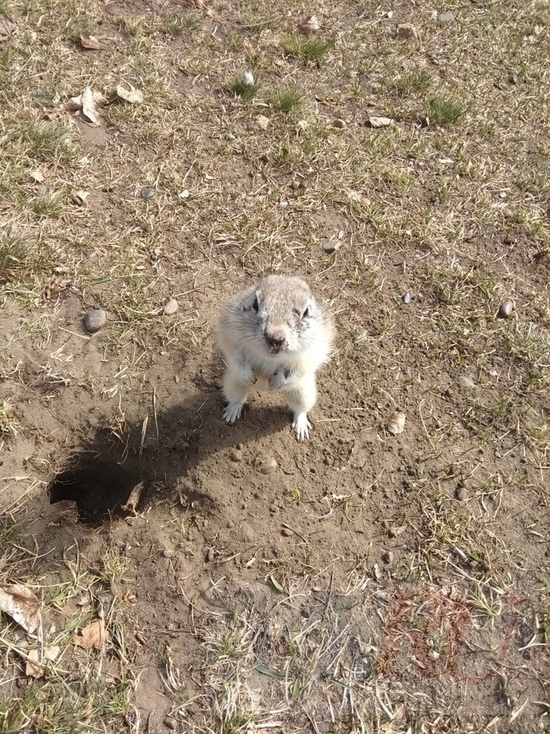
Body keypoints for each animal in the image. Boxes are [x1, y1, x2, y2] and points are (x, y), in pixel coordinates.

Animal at [217, 274, 336, 436]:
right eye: (255, 304)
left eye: (306, 312)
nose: (275, 338)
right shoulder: (230, 334)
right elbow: (235, 357)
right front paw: (248, 375)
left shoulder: (313, 351)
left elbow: (299, 369)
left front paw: (277, 382)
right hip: (233, 384)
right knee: (236, 399)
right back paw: (231, 412)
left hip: (303, 392)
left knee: (301, 408)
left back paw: (301, 426)